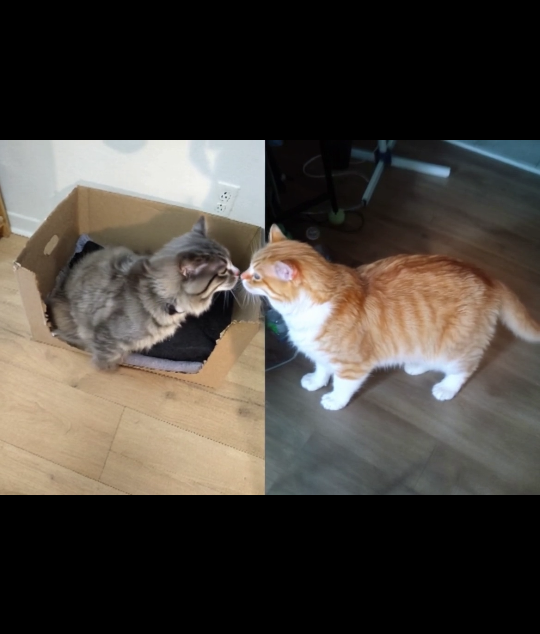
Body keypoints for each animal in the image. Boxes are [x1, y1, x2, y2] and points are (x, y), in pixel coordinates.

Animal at [49, 217, 239, 371]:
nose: (238, 272)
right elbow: (106, 357)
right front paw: (109, 368)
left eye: (231, 262)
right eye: (223, 271)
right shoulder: (107, 336)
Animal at [242, 224, 540, 411]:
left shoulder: (353, 365)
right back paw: (416, 365)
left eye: (256, 276)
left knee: (463, 369)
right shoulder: (323, 354)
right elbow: (321, 368)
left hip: (455, 348)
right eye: (250, 268)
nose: (241, 276)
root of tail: (488, 277)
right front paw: (316, 382)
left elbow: (342, 385)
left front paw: (334, 400)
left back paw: (445, 388)